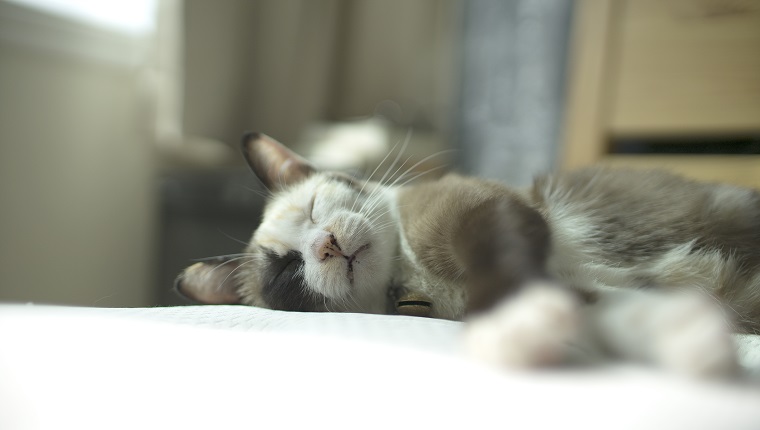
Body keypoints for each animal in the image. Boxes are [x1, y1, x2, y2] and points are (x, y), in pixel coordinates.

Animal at [177, 133, 760, 378]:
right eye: (287, 272)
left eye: (316, 208)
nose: (326, 244)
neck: (411, 274)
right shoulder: (584, 291)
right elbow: (612, 312)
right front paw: (689, 341)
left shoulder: (482, 212)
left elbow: (500, 269)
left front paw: (511, 323)